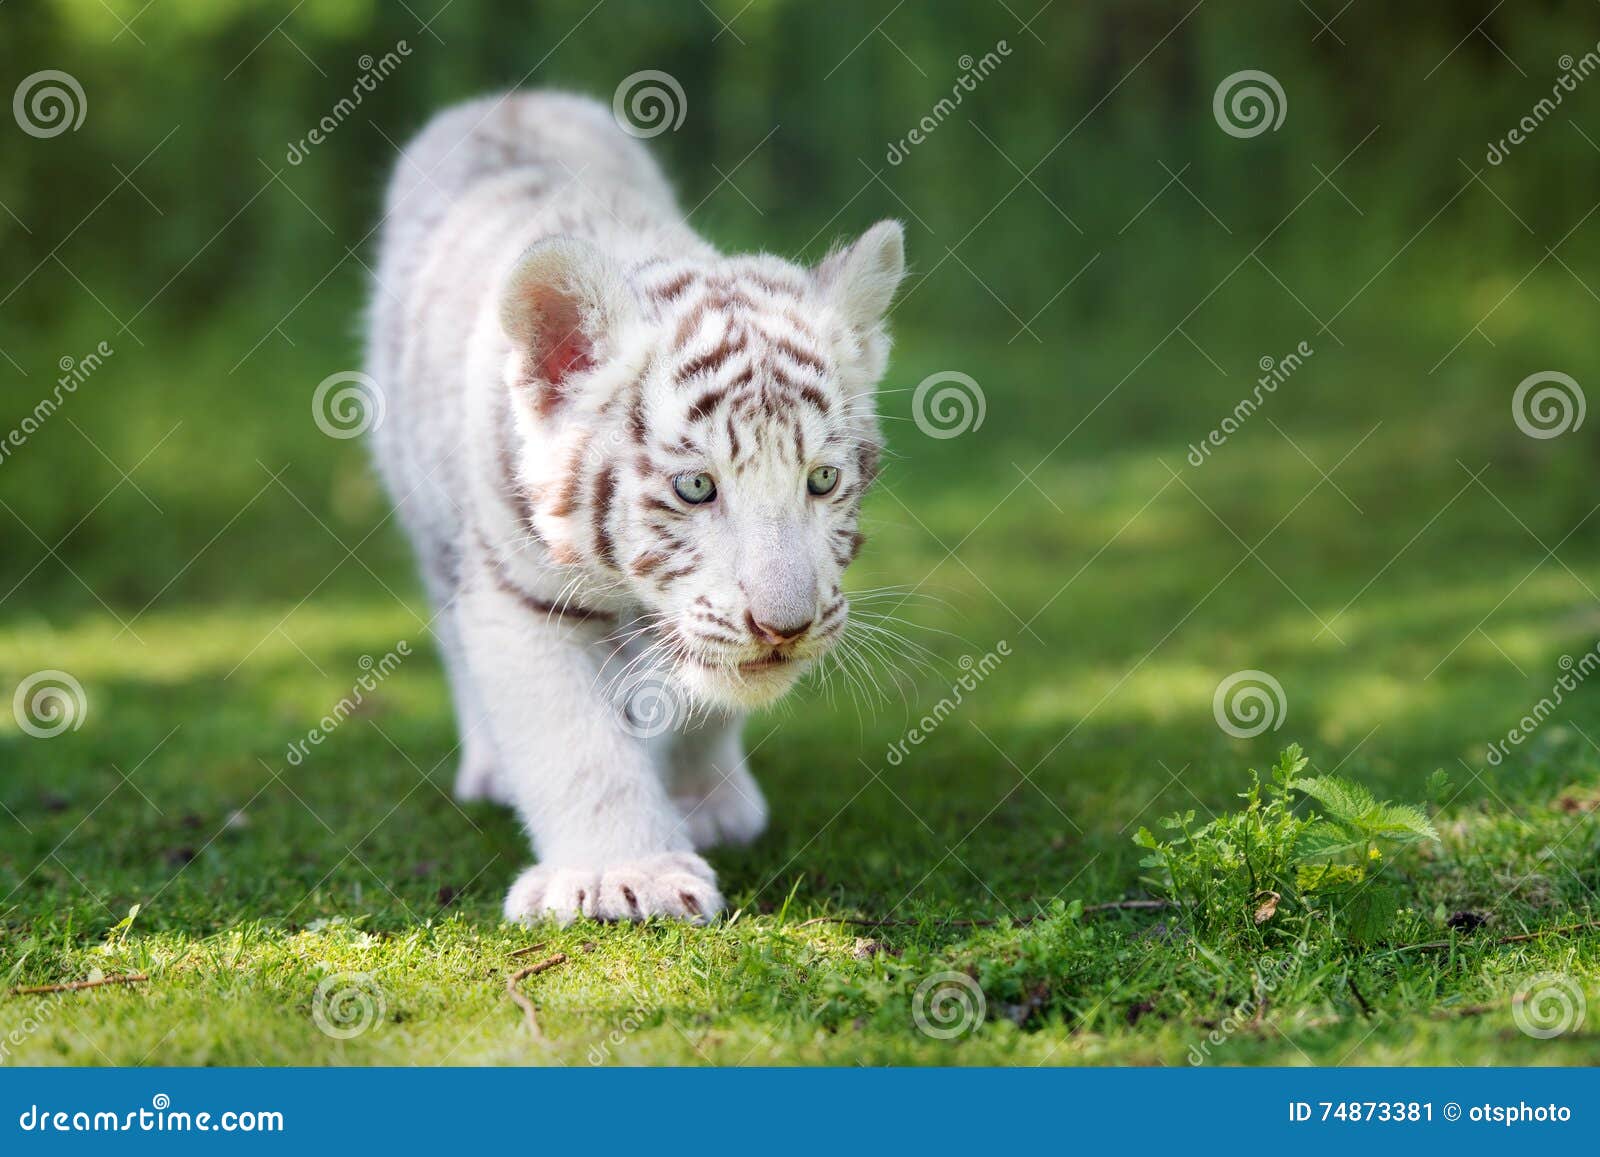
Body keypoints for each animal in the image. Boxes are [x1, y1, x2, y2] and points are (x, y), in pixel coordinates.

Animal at [365, 91, 905, 925]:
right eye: (695, 487)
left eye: (820, 480)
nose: (784, 627)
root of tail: (511, 97)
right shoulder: (519, 594)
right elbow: (576, 743)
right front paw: (625, 872)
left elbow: (706, 692)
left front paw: (706, 801)